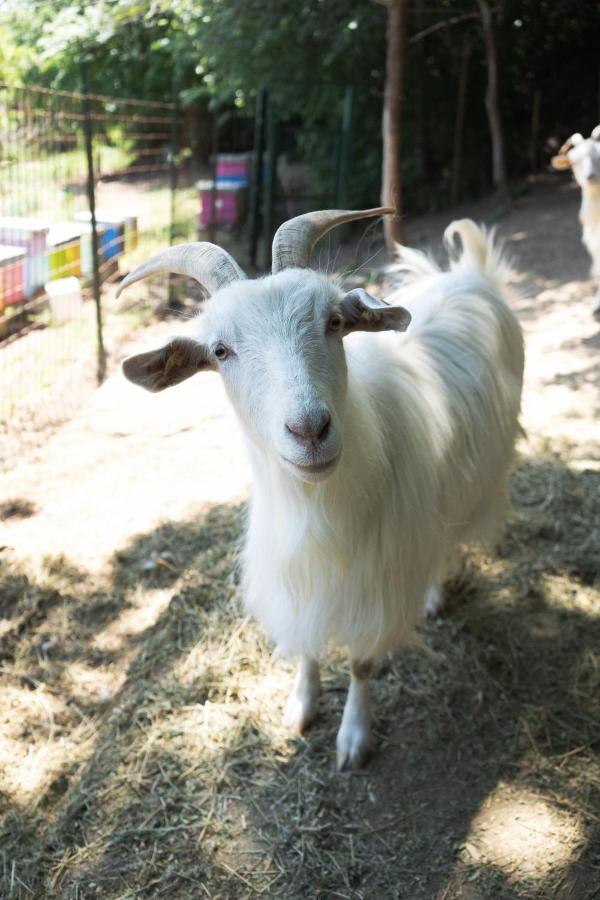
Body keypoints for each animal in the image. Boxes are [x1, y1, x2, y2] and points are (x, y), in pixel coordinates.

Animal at [119, 207, 524, 768]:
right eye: (220, 350)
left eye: (334, 322)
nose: (309, 430)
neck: (319, 505)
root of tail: (472, 272)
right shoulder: (300, 580)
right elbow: (308, 644)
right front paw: (301, 706)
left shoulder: (377, 586)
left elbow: (361, 663)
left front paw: (354, 737)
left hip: (484, 474)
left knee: (451, 538)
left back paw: (433, 592)